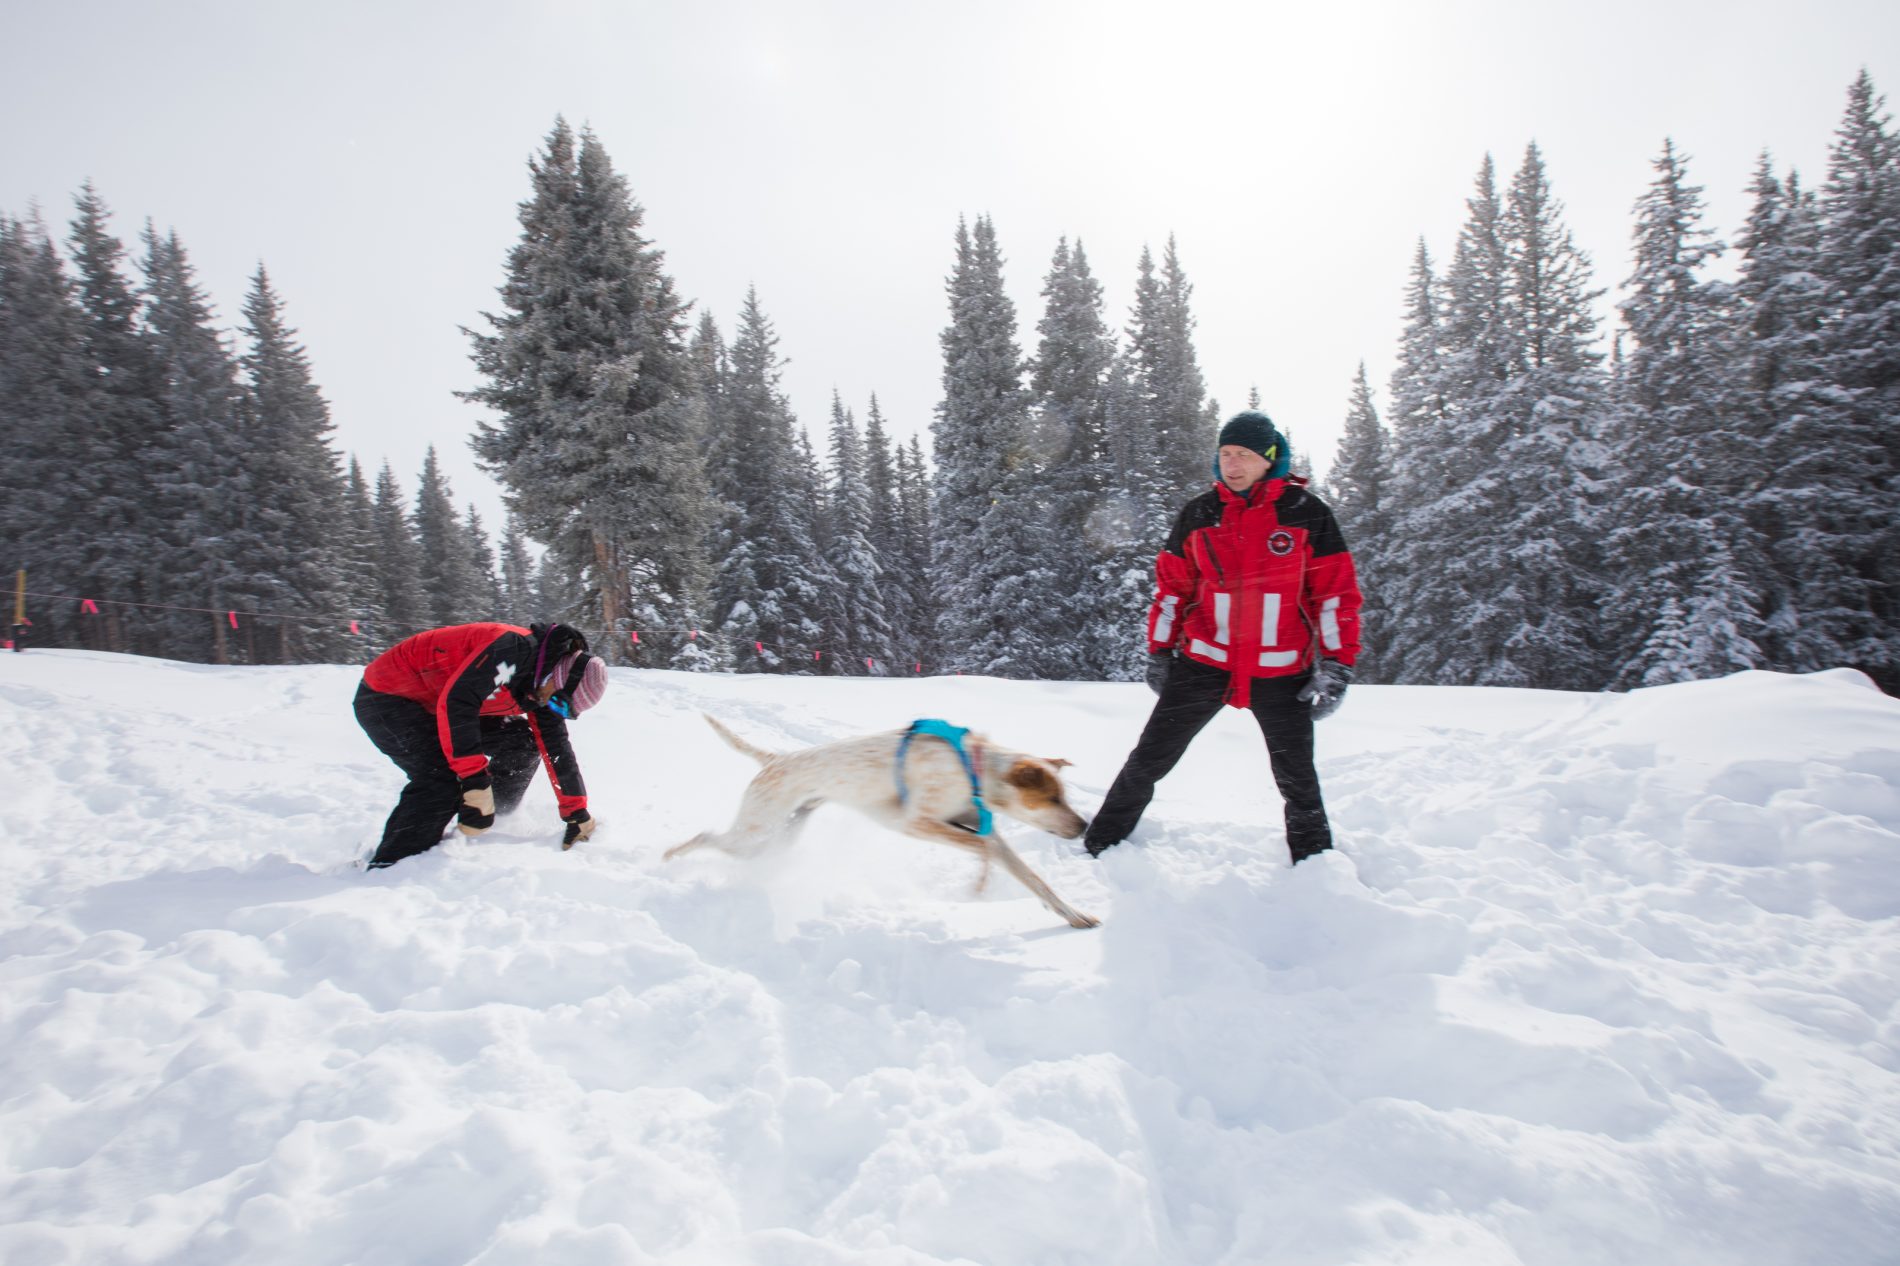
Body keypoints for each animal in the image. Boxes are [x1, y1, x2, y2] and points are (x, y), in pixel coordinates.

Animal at [668, 710, 1109, 927]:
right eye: (1051, 797)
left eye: (1064, 795)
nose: (1084, 826)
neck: (972, 768)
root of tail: (775, 758)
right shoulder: (914, 823)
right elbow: (981, 849)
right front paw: (979, 886)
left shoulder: (983, 830)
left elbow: (1034, 879)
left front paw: (1074, 914)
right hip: (754, 832)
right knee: (704, 837)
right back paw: (669, 859)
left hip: (778, 838)